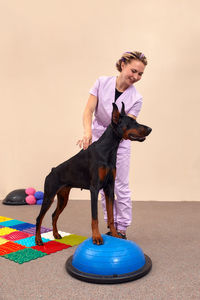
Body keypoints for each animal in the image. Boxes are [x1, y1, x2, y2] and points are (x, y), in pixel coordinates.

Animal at [35, 102, 152, 245]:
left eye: (136, 121)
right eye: (131, 123)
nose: (150, 129)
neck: (108, 149)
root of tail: (52, 171)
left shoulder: (109, 188)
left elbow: (111, 216)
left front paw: (115, 234)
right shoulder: (94, 189)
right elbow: (94, 217)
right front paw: (96, 237)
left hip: (63, 197)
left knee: (53, 215)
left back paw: (56, 234)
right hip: (49, 196)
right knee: (39, 218)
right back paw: (38, 239)